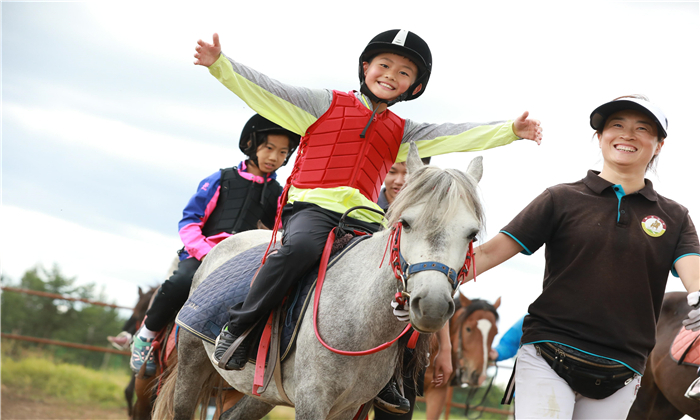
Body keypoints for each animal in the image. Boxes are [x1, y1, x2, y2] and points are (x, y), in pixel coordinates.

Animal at [155, 143, 486, 418]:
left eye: (471, 234)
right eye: (405, 223)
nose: (431, 305)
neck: (360, 316)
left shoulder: (348, 407)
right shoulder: (313, 401)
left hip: (262, 392)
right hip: (191, 361)